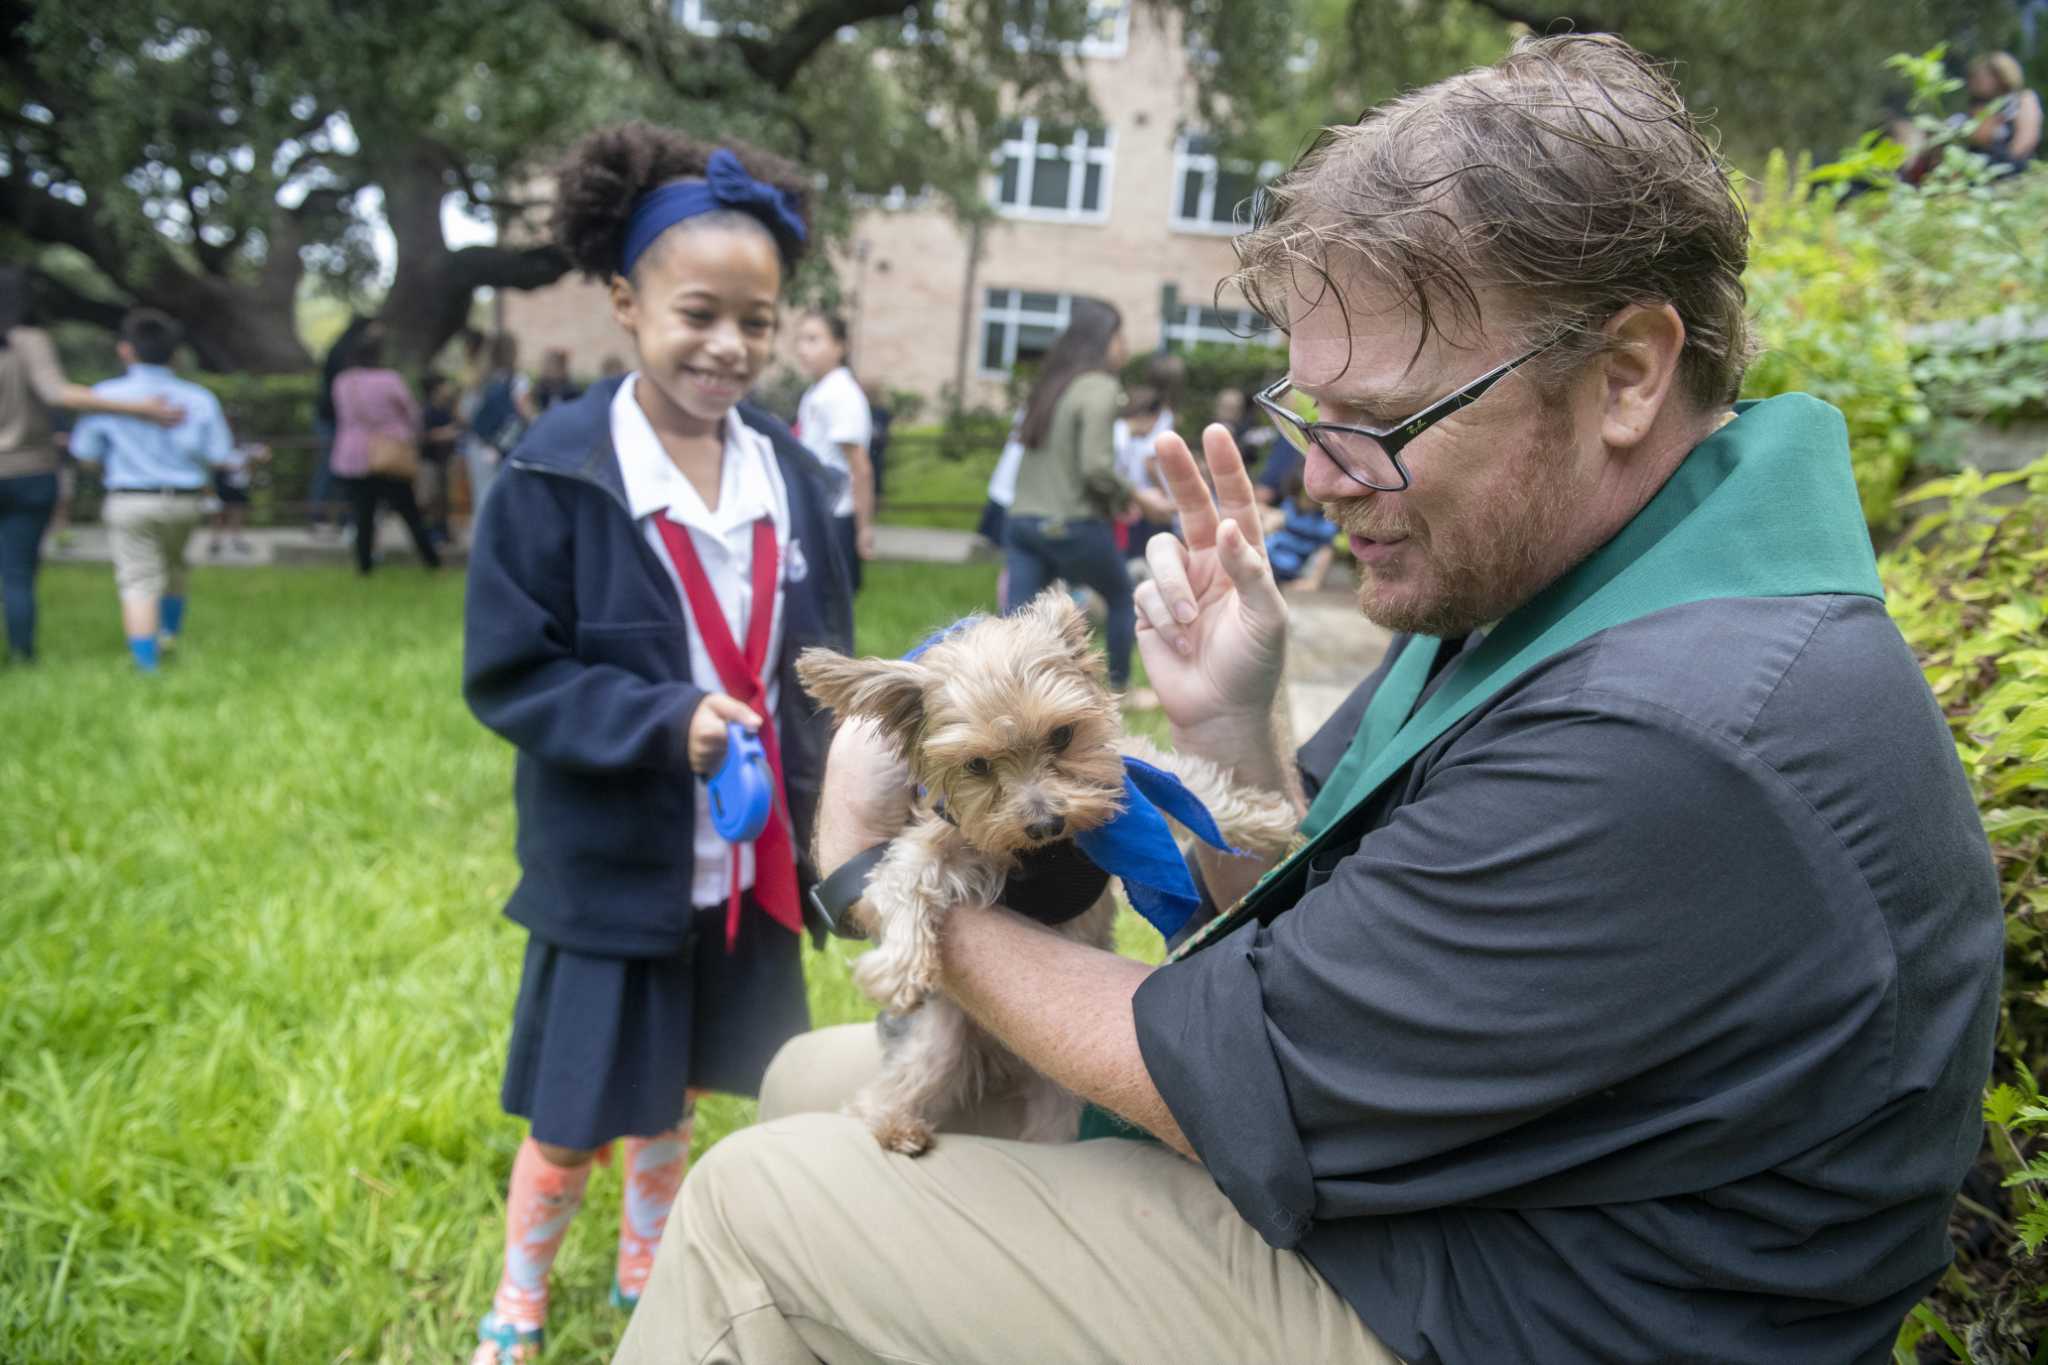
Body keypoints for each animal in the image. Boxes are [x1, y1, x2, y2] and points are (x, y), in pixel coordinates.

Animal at [794, 589, 1294, 1154]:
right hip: (942, 1038)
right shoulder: (946, 835)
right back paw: (895, 1126)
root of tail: (1004, 1059)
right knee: (889, 1088)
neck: (1055, 850)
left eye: (1062, 735)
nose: (1044, 824)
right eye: (976, 765)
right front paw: (900, 966)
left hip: (1060, 1091)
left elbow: (1196, 788)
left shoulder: (1124, 772)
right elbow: (903, 876)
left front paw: (1266, 821)